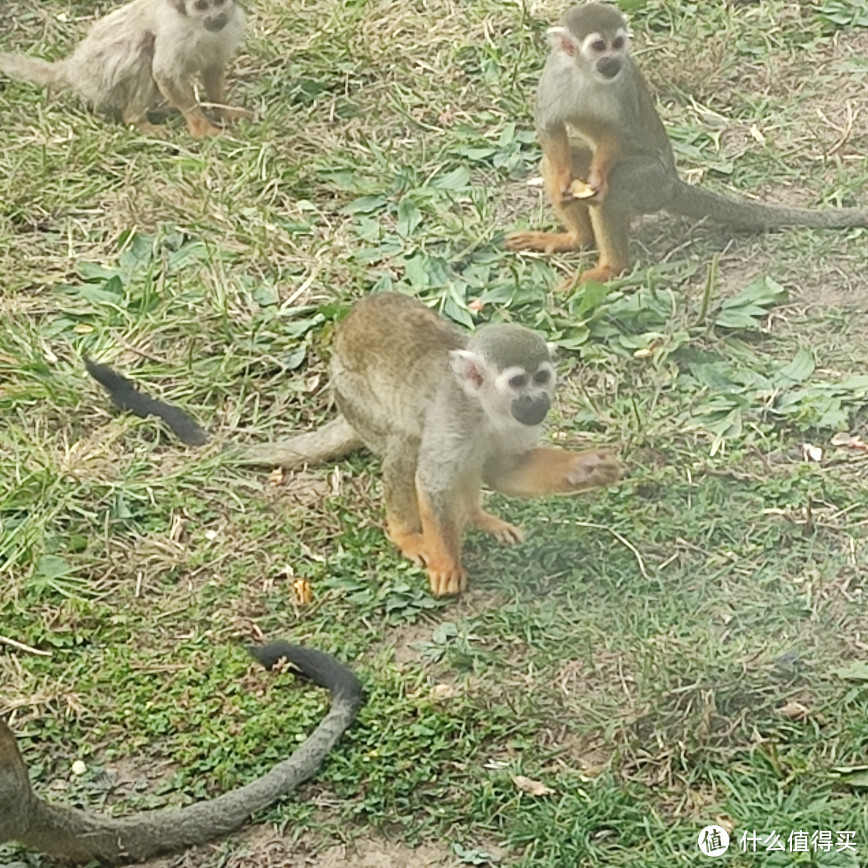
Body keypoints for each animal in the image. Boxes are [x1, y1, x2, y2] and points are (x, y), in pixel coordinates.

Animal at [0, 0, 248, 136]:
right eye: (201, 5)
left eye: (219, 2)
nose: (216, 16)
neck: (197, 26)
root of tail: (74, 68)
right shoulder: (175, 31)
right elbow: (164, 73)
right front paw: (200, 126)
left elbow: (213, 67)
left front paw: (223, 110)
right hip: (98, 76)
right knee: (143, 42)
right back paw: (136, 120)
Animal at [85, 292, 620, 596]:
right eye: (516, 383)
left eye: (541, 378)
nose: (537, 401)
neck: (485, 408)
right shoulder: (453, 417)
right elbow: (431, 480)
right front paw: (447, 561)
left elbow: (502, 467)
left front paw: (585, 469)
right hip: (357, 400)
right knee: (406, 444)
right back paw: (409, 534)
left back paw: (473, 516)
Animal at [508, 1, 868, 284]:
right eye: (599, 46)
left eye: (618, 43)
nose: (613, 59)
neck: (587, 75)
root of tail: (673, 185)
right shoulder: (554, 75)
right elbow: (551, 128)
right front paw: (564, 179)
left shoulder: (623, 83)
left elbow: (618, 131)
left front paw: (597, 178)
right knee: (561, 158)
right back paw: (579, 239)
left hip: (651, 184)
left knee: (619, 184)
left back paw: (611, 267)